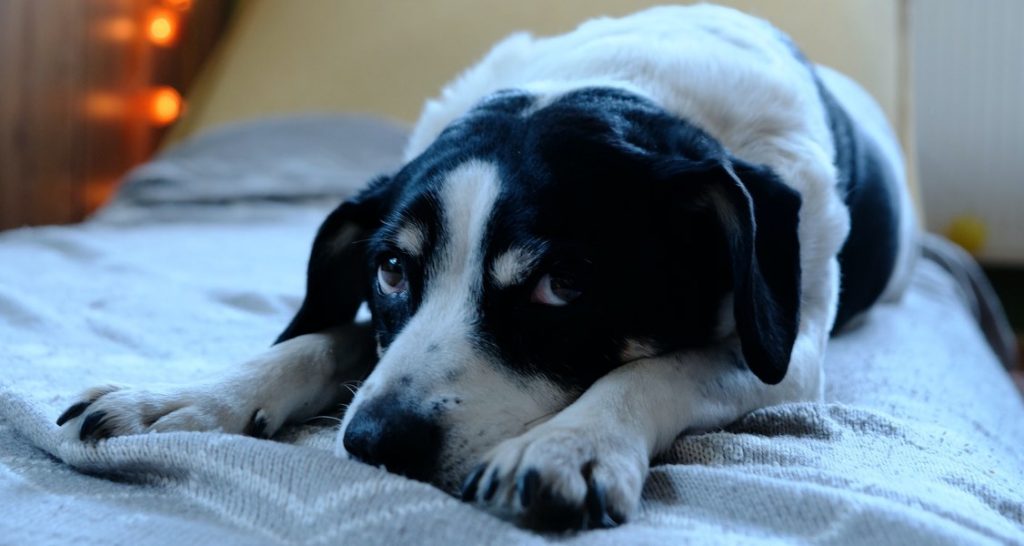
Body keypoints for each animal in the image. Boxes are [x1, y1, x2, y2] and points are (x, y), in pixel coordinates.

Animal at [59, 4, 917, 528]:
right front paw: (192, 398)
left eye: (563, 285)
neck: (630, 84)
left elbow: (657, 368)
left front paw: (570, 444)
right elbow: (325, 338)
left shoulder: (788, 357)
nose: (374, 443)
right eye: (390, 269)